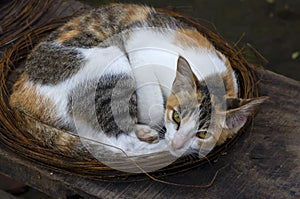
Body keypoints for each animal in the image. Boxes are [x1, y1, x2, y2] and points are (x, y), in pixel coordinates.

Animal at [8, 3, 264, 158]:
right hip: (112, 62)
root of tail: (18, 93)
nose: (177, 144)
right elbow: (154, 109)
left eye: (202, 135)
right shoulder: (138, 46)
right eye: (177, 117)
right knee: (118, 144)